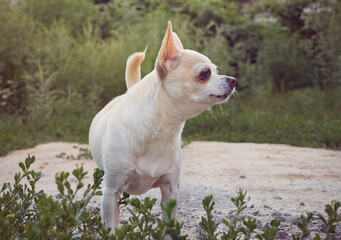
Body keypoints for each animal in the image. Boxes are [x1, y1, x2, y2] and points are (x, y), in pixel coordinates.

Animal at [89, 21, 235, 232]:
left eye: (216, 71)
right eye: (205, 73)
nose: (232, 79)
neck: (160, 131)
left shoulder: (171, 191)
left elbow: (168, 228)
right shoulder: (110, 192)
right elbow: (111, 229)